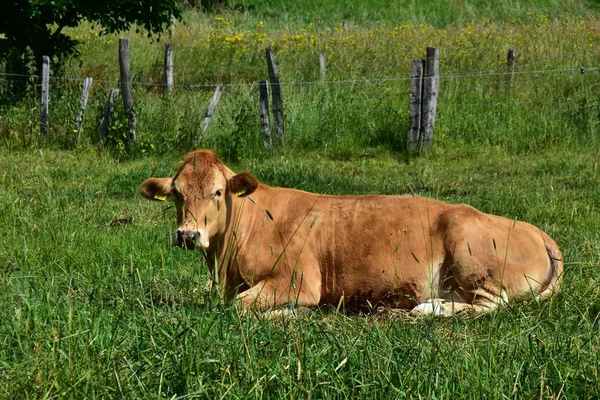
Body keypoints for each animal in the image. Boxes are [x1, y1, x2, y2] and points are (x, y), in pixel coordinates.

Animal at [141, 150, 564, 316]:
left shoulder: (298, 280)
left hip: (470, 251)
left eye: (217, 192)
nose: (187, 235)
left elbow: (242, 307)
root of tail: (536, 231)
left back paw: (425, 310)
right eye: (176, 193)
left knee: (489, 305)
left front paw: (290, 314)